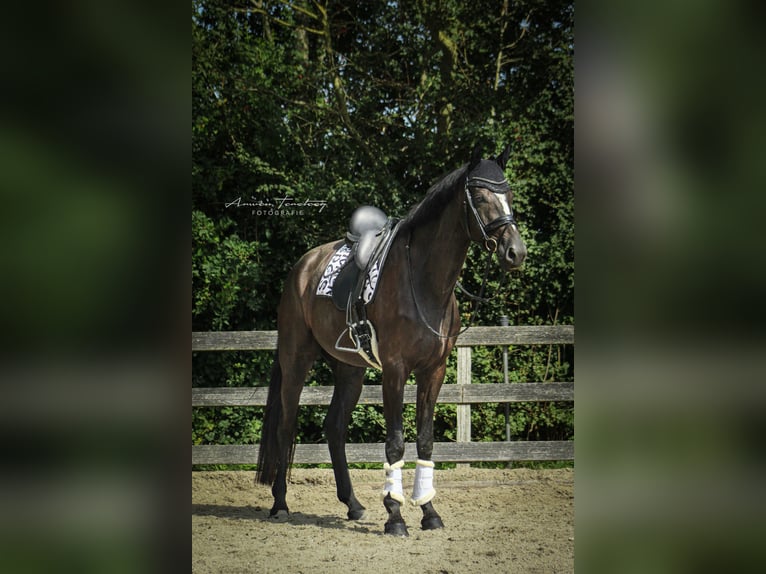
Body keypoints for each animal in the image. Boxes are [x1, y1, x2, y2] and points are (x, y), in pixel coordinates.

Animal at [258, 145, 528, 540]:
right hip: (296, 360)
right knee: (286, 425)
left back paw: (353, 505)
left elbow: (425, 440)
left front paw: (429, 512)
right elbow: (396, 441)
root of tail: (302, 267)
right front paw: (395, 516)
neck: (425, 282)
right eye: (479, 197)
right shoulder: (395, 371)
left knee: (334, 427)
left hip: (349, 370)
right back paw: (280, 504)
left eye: (509, 194)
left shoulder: (434, 371)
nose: (515, 252)